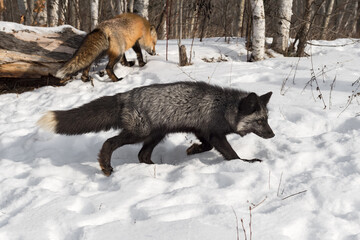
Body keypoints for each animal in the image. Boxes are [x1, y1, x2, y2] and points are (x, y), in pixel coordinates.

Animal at [38, 81, 274, 175]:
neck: (223, 107)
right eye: (260, 121)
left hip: (156, 134)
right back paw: (106, 167)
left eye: (267, 119)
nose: (272, 134)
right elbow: (231, 154)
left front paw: (192, 150)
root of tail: (125, 95)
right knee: (110, 142)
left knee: (142, 156)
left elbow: (205, 146)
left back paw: (159, 168)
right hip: (139, 133)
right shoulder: (214, 134)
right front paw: (247, 162)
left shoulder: (201, 131)